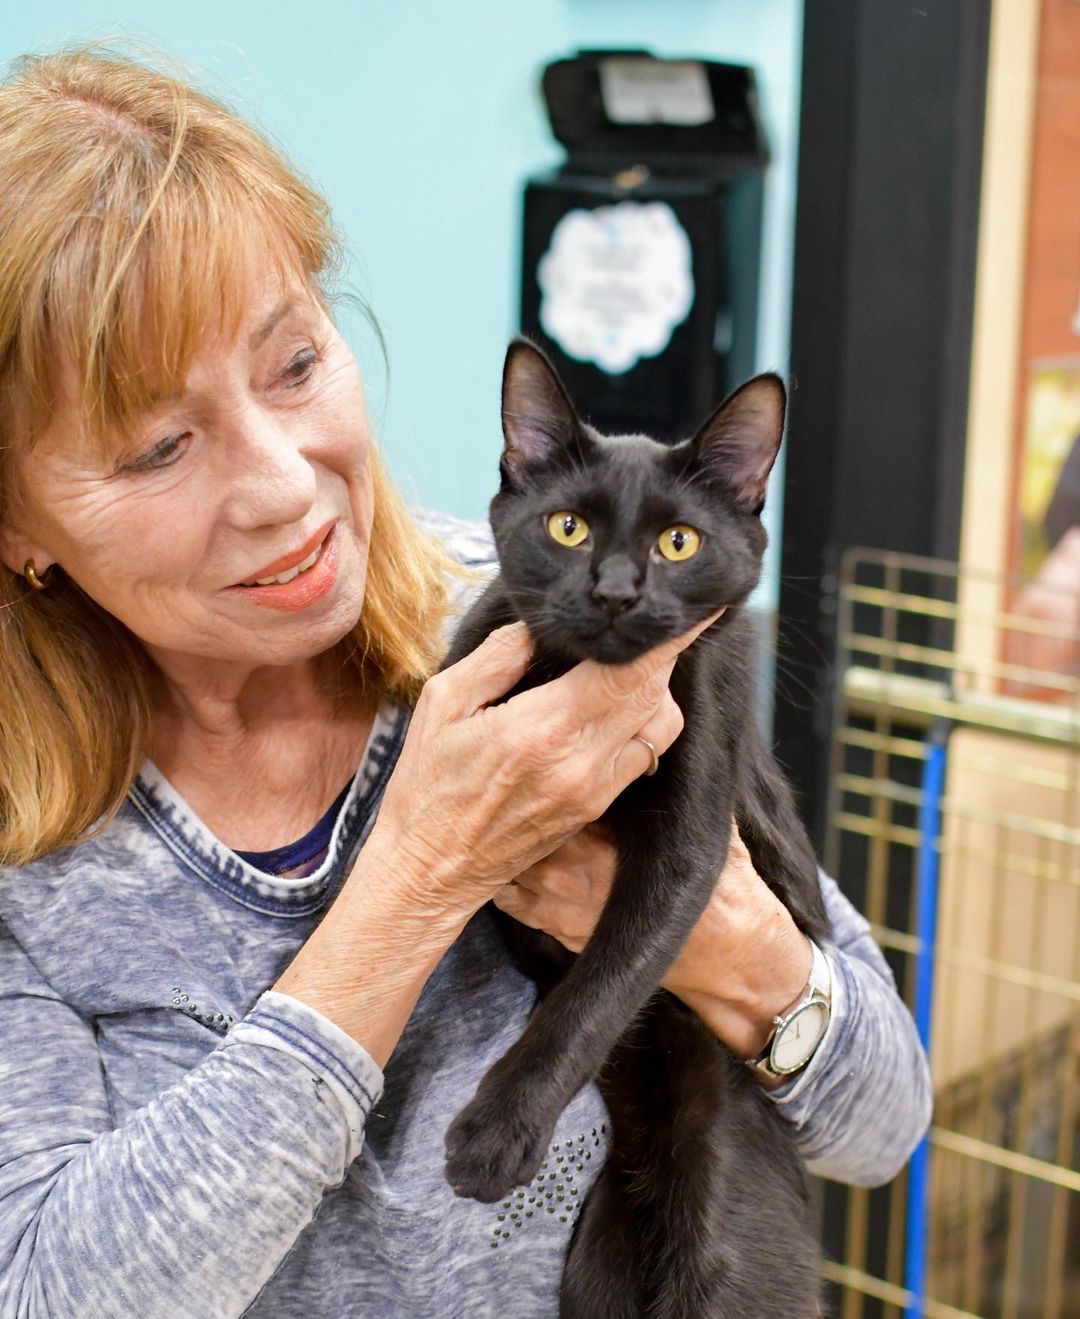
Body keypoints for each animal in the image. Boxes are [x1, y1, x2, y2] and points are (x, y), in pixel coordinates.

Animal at [440, 340, 828, 1319]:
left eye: (678, 541)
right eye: (568, 528)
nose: (616, 591)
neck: (580, 684)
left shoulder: (693, 832)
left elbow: (599, 987)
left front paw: (495, 1133)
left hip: (730, 1250)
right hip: (598, 1273)